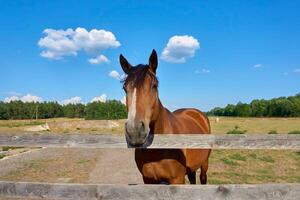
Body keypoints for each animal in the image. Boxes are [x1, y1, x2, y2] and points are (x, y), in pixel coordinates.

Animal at [119, 49, 211, 184]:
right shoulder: (148, 180)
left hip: (204, 163)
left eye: (154, 85)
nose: (135, 131)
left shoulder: (177, 179)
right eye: (124, 88)